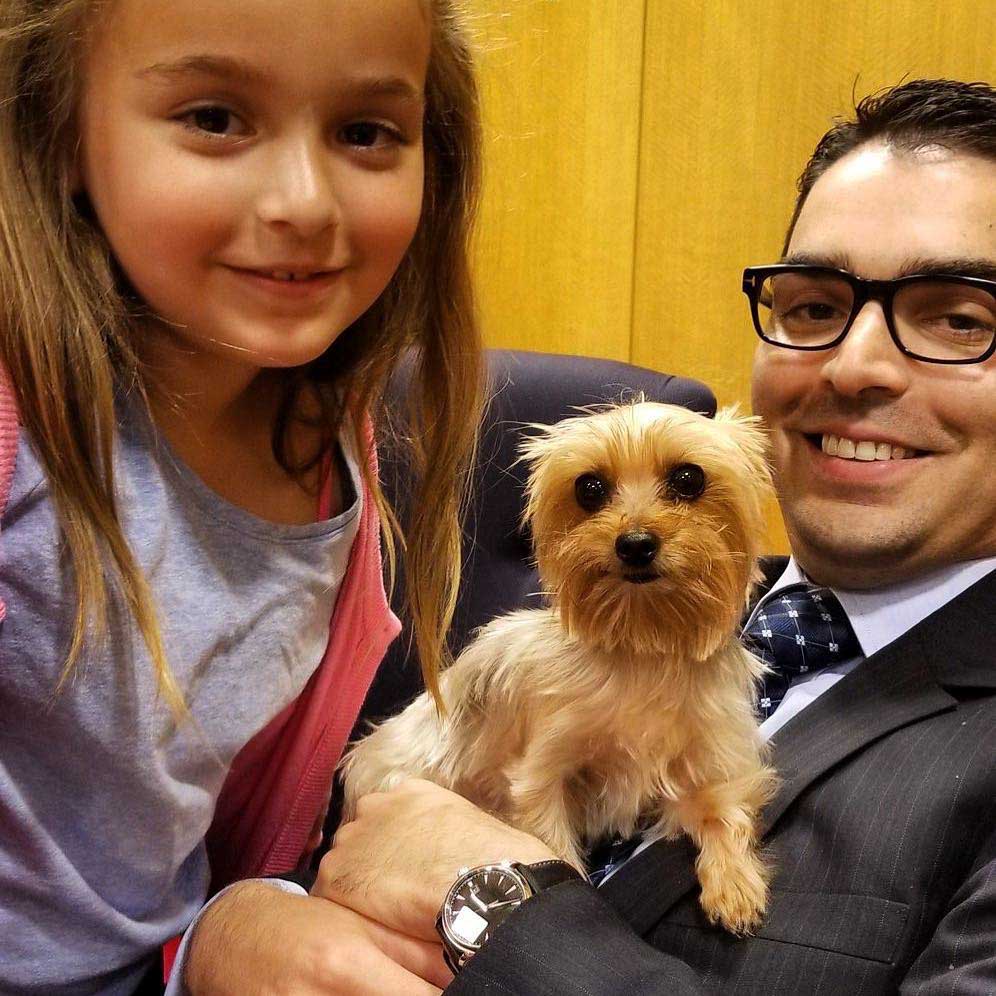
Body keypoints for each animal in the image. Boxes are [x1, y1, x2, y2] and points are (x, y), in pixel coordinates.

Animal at [342, 398, 780, 932]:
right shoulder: (545, 772)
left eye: (689, 478)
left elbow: (722, 810)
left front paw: (735, 884)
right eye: (589, 488)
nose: (635, 543)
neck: (642, 645)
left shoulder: (705, 758)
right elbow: (551, 839)